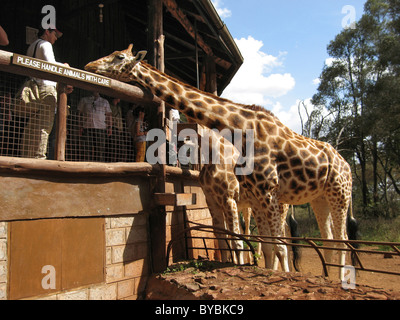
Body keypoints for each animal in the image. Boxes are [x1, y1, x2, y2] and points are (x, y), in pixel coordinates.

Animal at [86, 44, 354, 278]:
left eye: (119, 57)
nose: (89, 64)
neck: (241, 129)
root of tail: (348, 165)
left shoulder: (262, 194)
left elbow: (272, 246)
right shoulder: (244, 198)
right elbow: (249, 244)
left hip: (337, 195)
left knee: (342, 242)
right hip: (319, 199)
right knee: (329, 240)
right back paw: (328, 277)